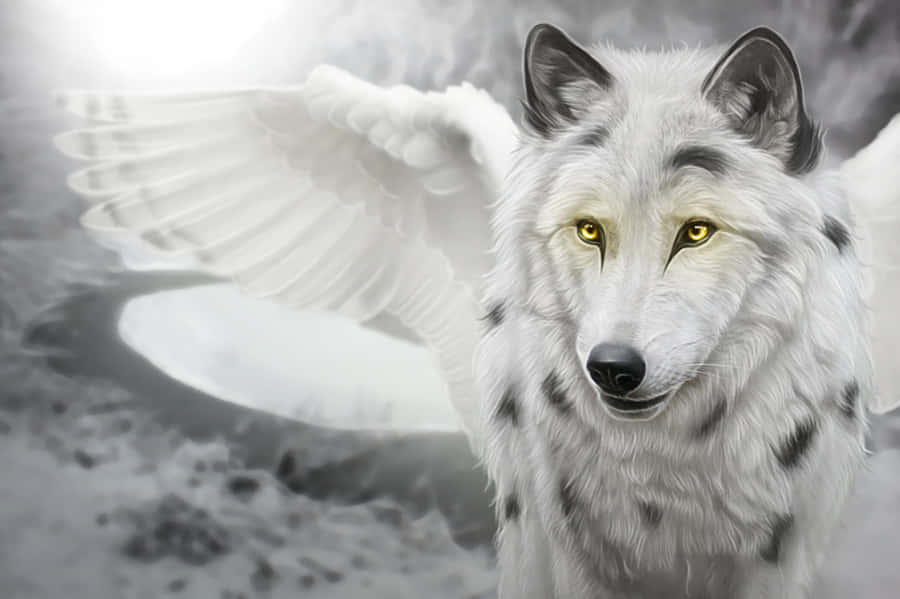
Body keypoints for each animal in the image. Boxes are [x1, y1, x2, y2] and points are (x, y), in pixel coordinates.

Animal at [475, 25, 870, 599]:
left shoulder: (777, 558)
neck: (661, 472)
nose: (613, 368)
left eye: (697, 232)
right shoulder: (569, 551)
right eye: (589, 230)